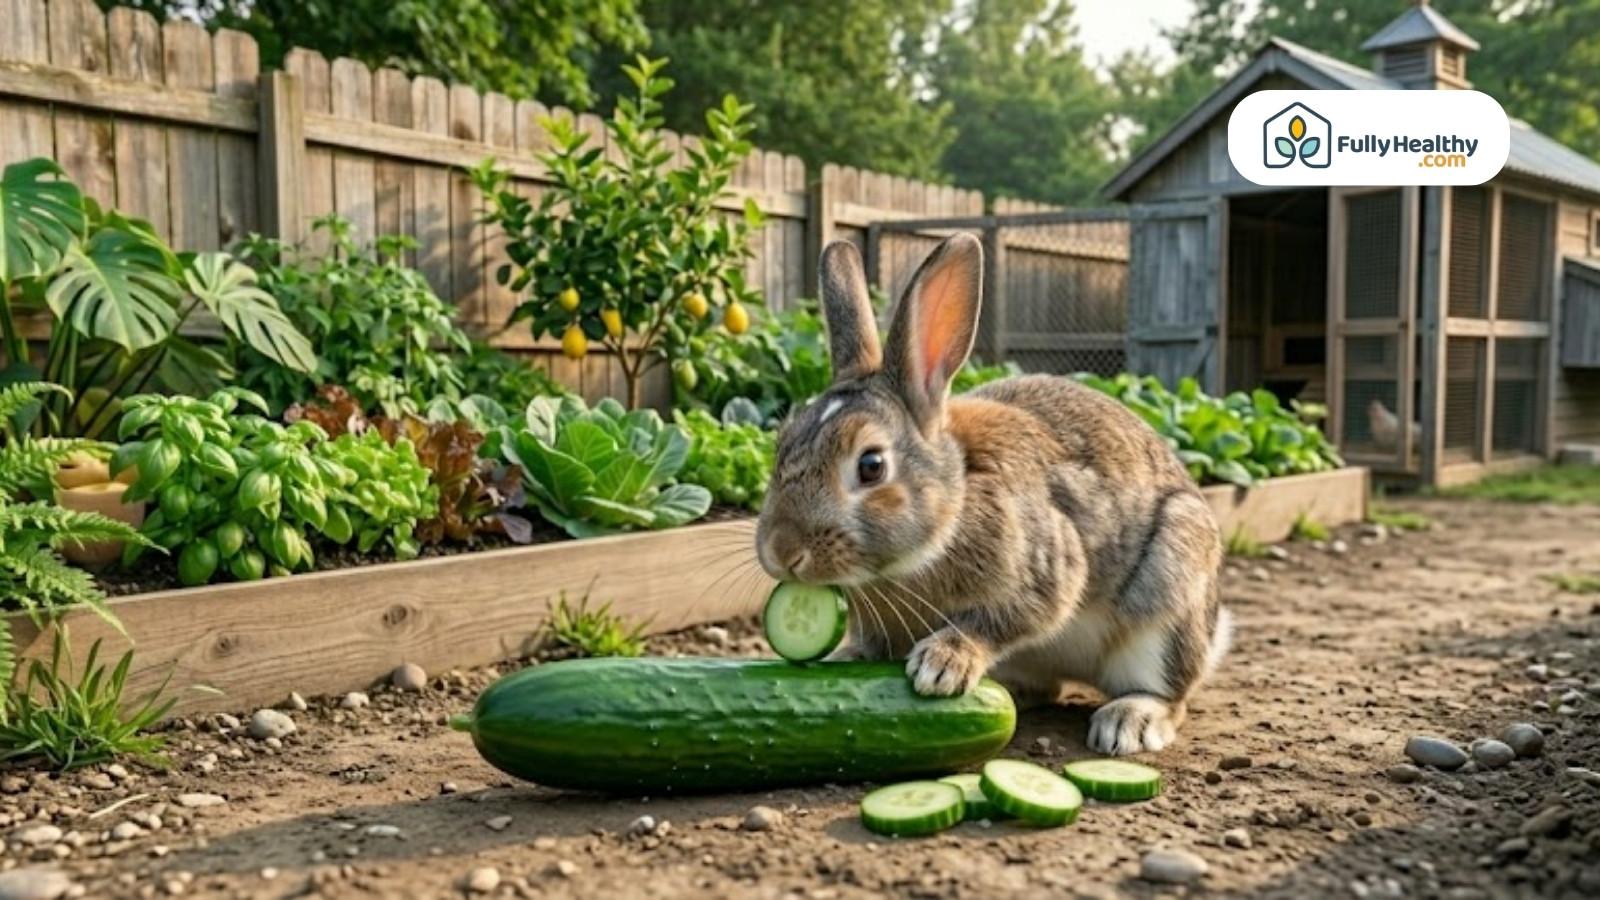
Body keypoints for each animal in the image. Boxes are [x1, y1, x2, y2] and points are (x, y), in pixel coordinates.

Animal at [754, 234, 1230, 755]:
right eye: (781, 443)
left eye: (871, 465)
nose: (781, 552)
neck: (955, 503)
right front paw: (845, 658)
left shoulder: (1044, 572)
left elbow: (1004, 618)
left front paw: (942, 664)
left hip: (1169, 598)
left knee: (1170, 691)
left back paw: (1129, 721)